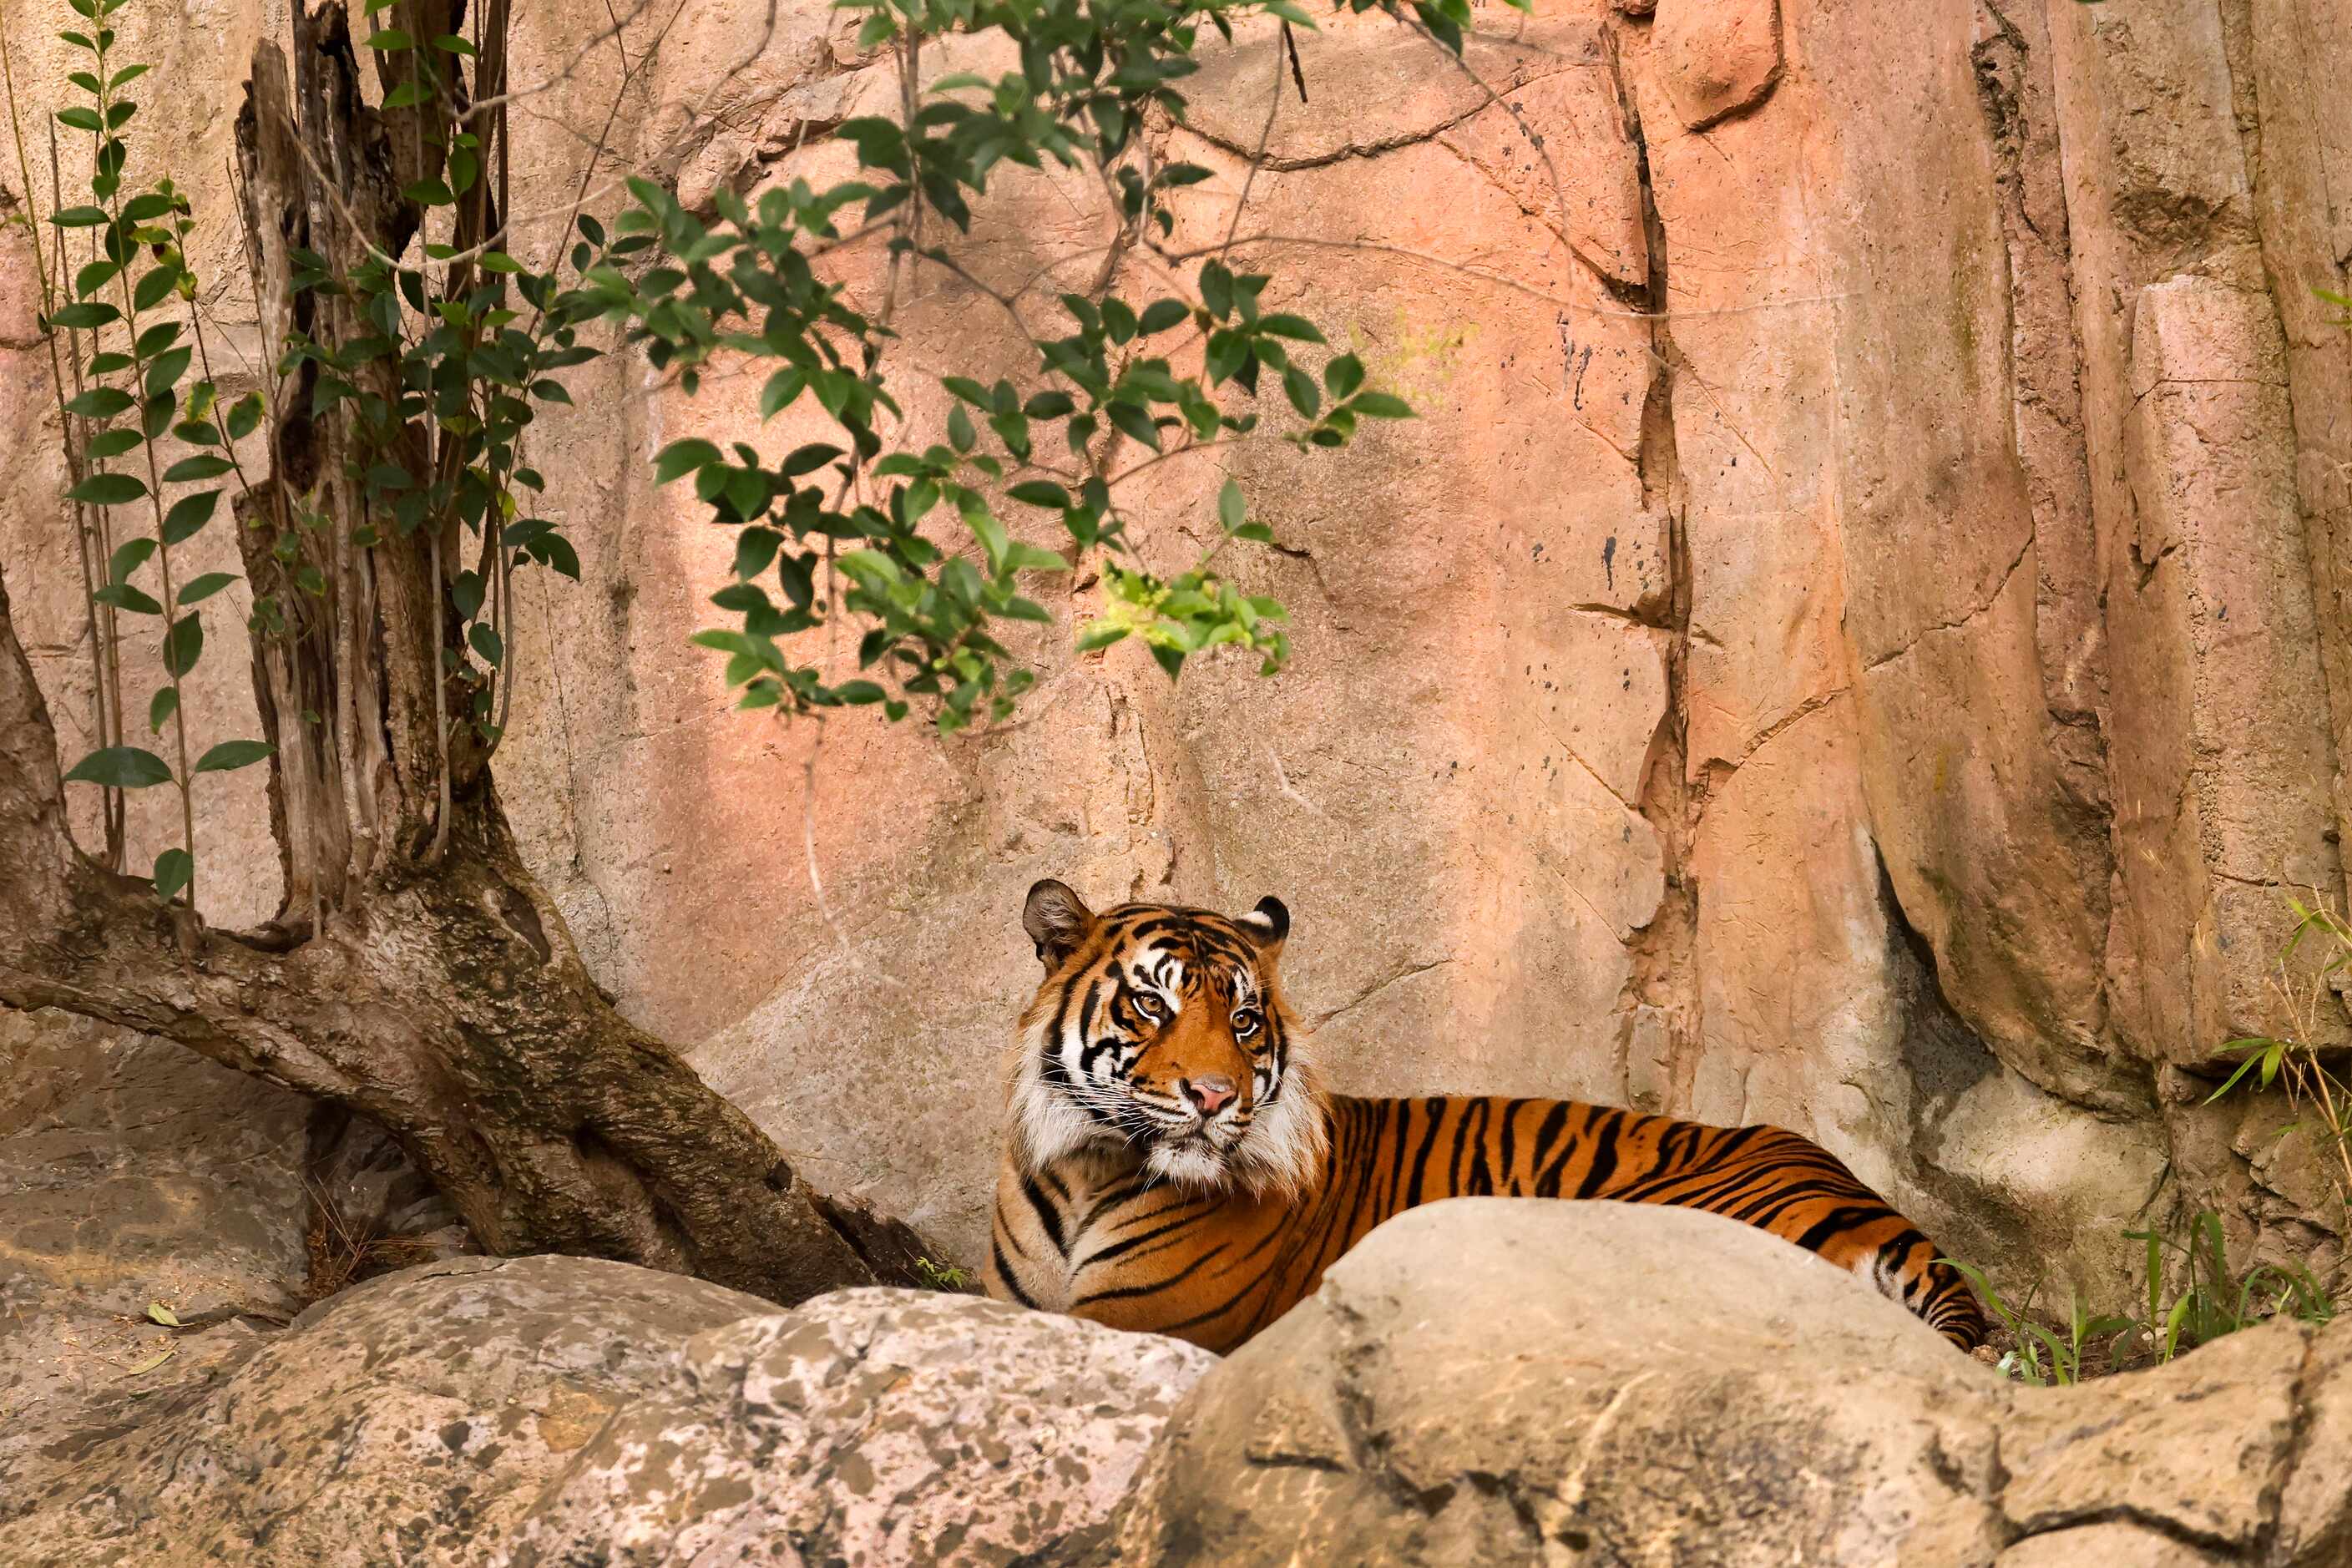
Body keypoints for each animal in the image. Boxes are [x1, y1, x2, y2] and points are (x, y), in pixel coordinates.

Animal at [983, 879, 1994, 1353]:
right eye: (1152, 1005)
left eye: (1241, 1021)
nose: (1214, 1098)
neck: (1086, 1170)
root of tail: (1887, 1219)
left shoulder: (1148, 1323)